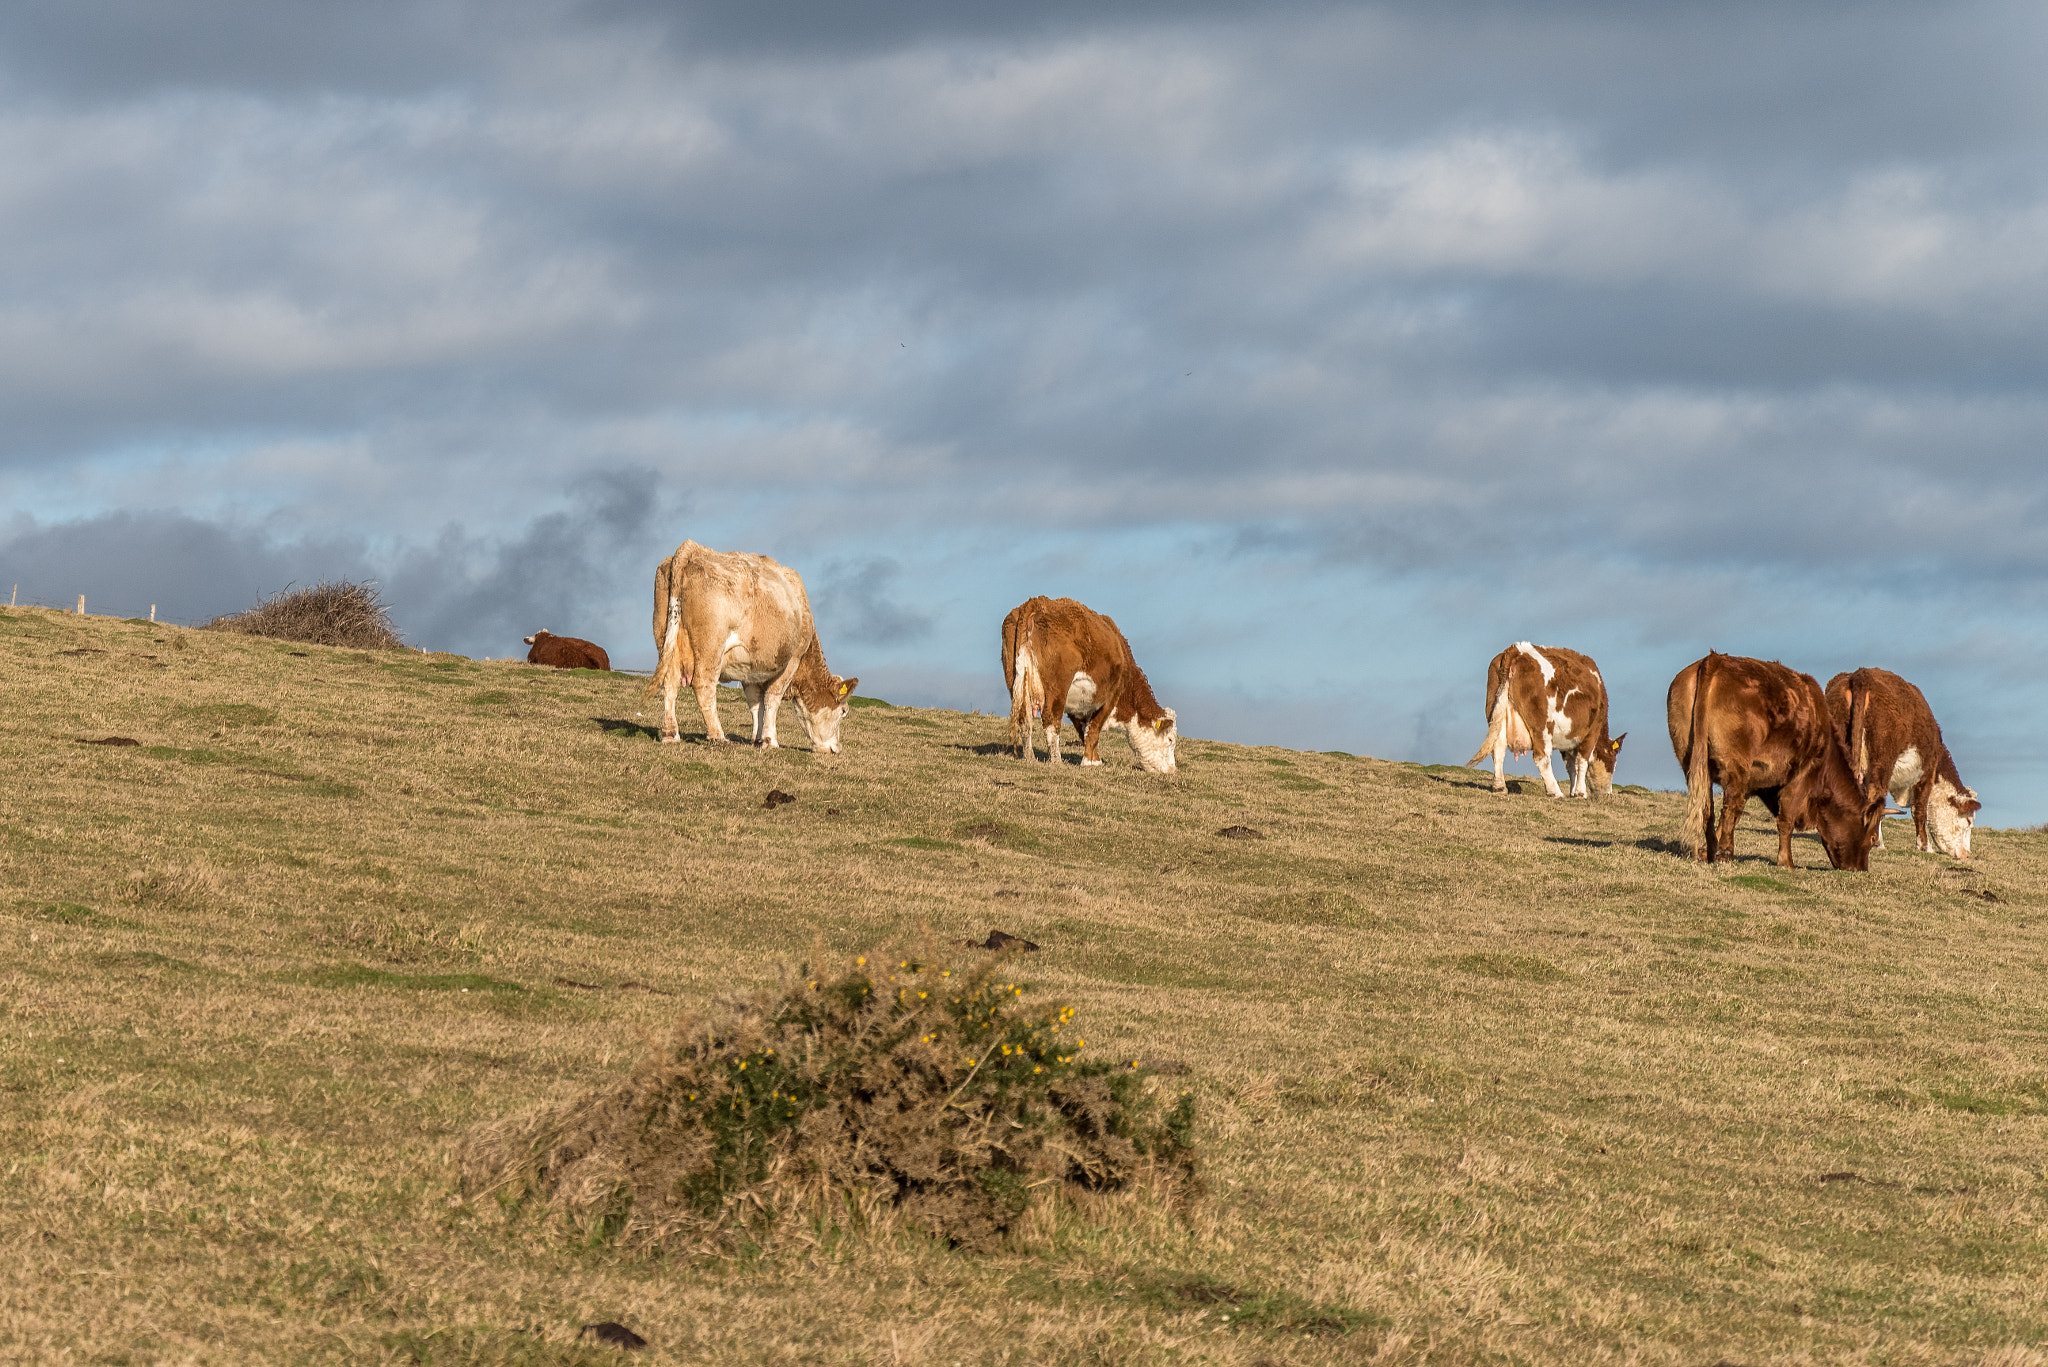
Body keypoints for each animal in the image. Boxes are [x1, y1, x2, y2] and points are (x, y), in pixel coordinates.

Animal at [646, 540, 858, 752]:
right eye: (843, 711)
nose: (836, 749)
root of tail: (694, 548)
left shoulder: (750, 669)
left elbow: (756, 703)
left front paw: (756, 738)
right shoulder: (792, 660)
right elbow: (772, 698)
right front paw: (769, 740)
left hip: (665, 640)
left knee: (670, 681)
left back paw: (670, 734)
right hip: (712, 645)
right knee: (703, 684)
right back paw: (718, 736)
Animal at [1001, 596, 1177, 774]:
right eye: (1170, 740)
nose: (1172, 770)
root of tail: (1038, 602)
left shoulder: (1077, 706)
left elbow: (1083, 732)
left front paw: (1093, 758)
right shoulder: (1111, 697)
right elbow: (1093, 731)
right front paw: (1090, 762)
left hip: (1014, 679)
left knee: (1023, 718)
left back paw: (1029, 757)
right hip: (1058, 686)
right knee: (1051, 720)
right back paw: (1056, 761)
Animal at [1466, 642, 1624, 798]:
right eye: (1612, 763)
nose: (1608, 793)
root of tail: (1517, 649)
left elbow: (1571, 766)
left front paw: (1573, 791)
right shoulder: (1592, 731)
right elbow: (1582, 761)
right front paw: (1580, 793)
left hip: (1497, 712)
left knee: (1498, 748)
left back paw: (1500, 788)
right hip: (1542, 725)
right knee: (1541, 756)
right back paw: (1555, 792)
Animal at [1666, 652, 1886, 870]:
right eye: (1872, 838)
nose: (1860, 869)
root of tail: (1716, 659)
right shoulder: (1801, 775)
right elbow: (1786, 818)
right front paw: (1786, 862)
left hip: (1690, 760)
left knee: (1707, 806)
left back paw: (1712, 851)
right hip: (1736, 766)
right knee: (1730, 806)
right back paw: (1724, 852)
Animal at [1824, 667, 1980, 859]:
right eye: (1968, 821)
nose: (1967, 854)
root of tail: (1860, 675)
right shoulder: (1926, 772)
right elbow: (1920, 810)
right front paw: (1924, 846)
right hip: (1882, 760)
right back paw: (1877, 842)